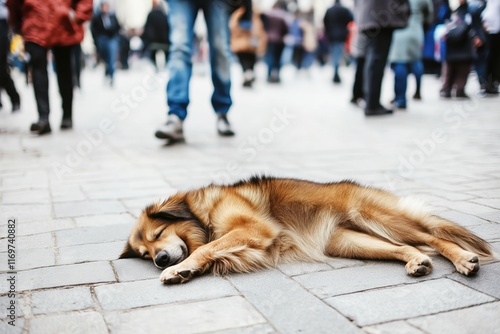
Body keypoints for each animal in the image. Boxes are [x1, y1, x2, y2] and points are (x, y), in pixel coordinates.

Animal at [119, 176, 498, 284]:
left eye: (156, 236)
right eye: (144, 253)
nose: (159, 260)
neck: (203, 214)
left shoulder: (256, 229)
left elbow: (205, 247)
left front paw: (180, 268)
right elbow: (212, 250)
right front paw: (187, 270)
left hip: (376, 217)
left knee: (434, 238)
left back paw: (463, 259)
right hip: (348, 241)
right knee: (411, 248)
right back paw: (416, 261)